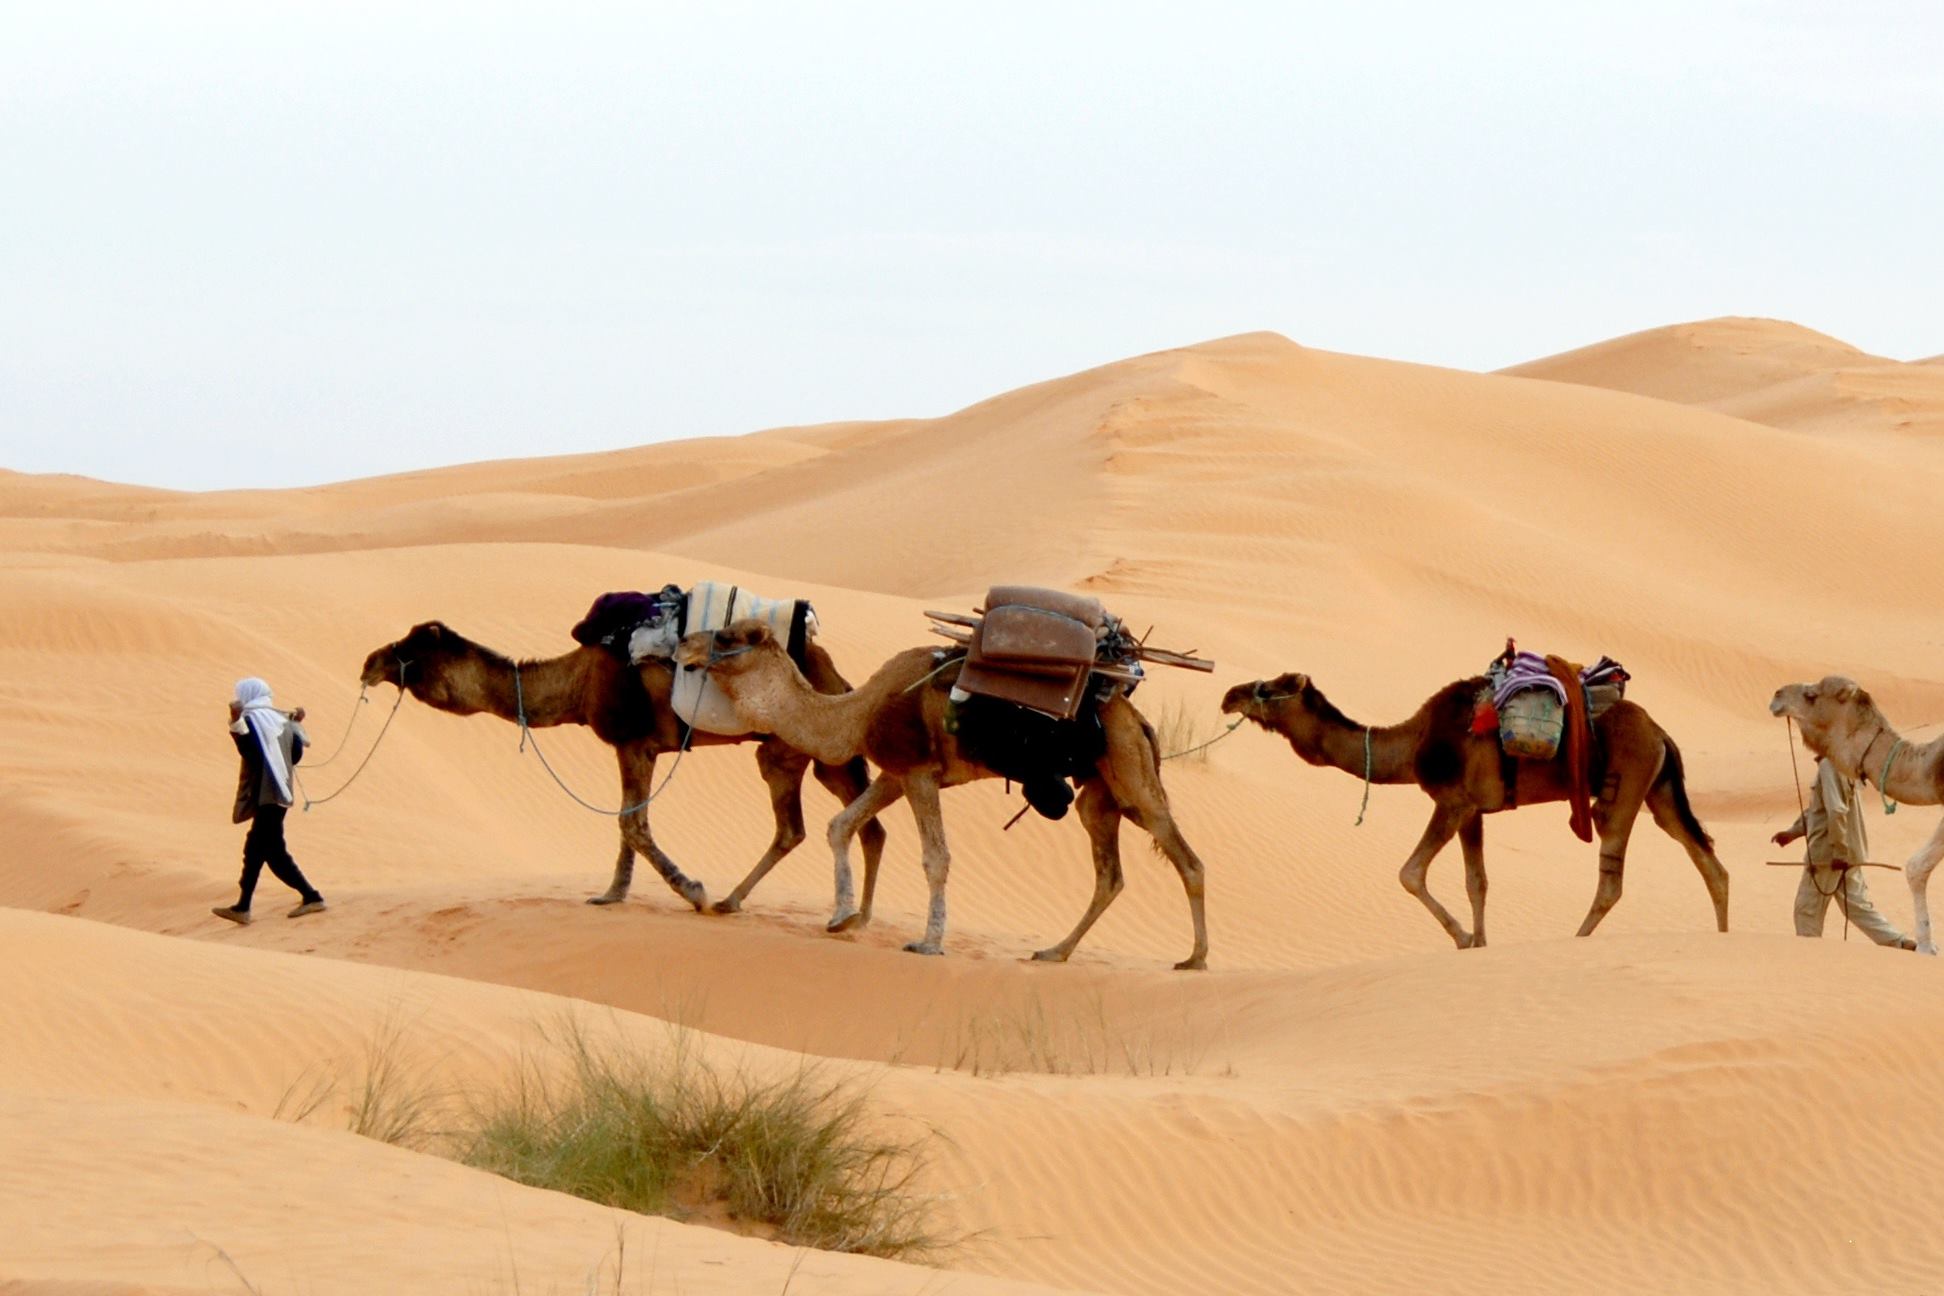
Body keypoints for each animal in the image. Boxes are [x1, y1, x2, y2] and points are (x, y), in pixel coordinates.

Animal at [357, 621, 890, 917]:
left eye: (412, 649)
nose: (369, 662)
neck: (577, 681)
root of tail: (837, 677)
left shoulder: (634, 742)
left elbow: (630, 823)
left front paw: (692, 891)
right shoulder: (639, 748)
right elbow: (628, 822)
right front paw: (612, 894)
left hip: (791, 749)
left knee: (804, 827)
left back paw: (735, 902)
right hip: (816, 754)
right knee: (852, 827)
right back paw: (847, 916)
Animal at [676, 621, 1205, 967]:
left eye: (727, 637)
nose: (682, 645)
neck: (857, 712)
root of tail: (1138, 720)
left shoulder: (919, 773)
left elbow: (936, 857)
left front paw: (928, 942)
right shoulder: (895, 774)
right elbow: (840, 825)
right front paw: (843, 917)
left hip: (1131, 773)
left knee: (1186, 858)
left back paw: (1195, 959)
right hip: (1099, 792)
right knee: (1109, 873)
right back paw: (1055, 951)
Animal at [1220, 676, 1726, 948]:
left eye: (1273, 687)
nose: (1230, 695)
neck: (1413, 745)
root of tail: (1660, 732)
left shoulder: (1451, 801)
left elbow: (1410, 872)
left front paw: (1463, 939)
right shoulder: (1474, 810)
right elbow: (1476, 882)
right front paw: (1480, 942)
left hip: (1624, 788)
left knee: (1612, 880)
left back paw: (1575, 939)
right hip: (1660, 790)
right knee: (1708, 862)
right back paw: (1724, 936)